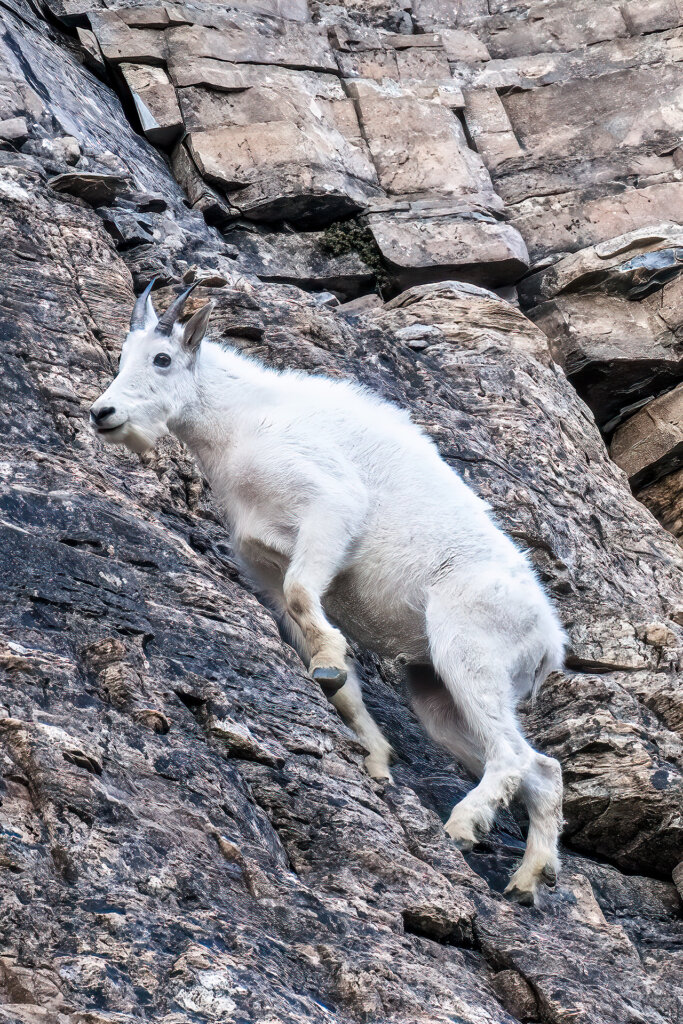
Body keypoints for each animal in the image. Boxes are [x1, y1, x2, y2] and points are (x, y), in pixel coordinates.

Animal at [93, 282, 569, 905]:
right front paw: (374, 751)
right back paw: (528, 876)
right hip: (437, 694)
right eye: (125, 357)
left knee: (514, 756)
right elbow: (318, 649)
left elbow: (305, 594)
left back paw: (465, 827)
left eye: (162, 358)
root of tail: (550, 644)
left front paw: (328, 667)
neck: (239, 423)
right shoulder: (263, 565)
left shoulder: (329, 511)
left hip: (469, 651)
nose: (103, 413)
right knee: (540, 770)